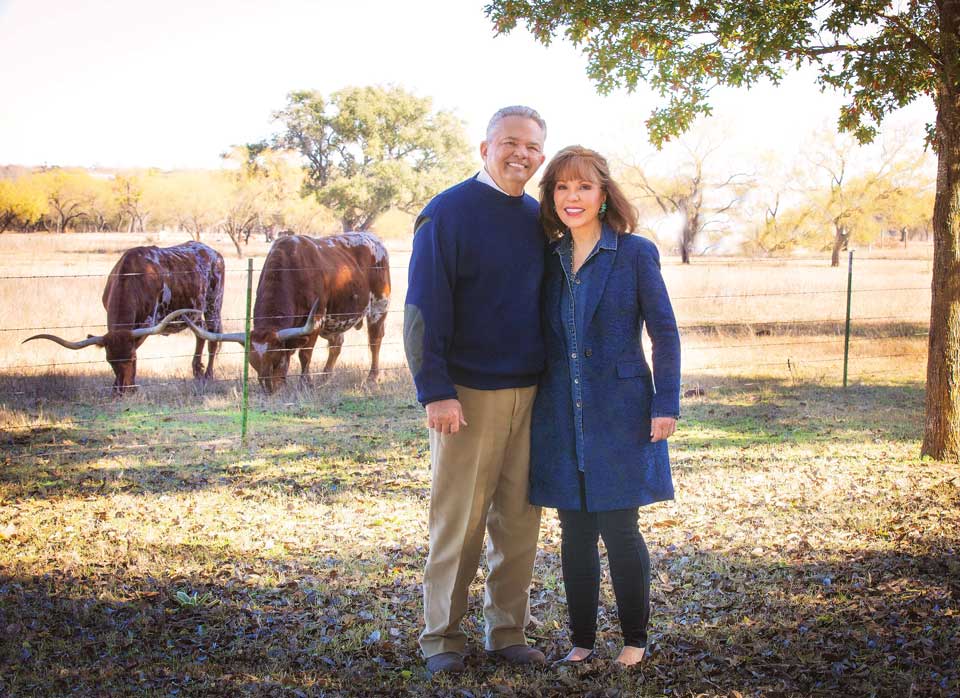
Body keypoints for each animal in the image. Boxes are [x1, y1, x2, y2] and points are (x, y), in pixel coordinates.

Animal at [25, 241, 224, 392]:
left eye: (132, 358)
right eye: (109, 360)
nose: (123, 389)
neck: (131, 278)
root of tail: (212, 252)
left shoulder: (147, 323)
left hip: (213, 306)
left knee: (213, 338)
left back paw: (208, 375)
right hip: (195, 312)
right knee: (201, 333)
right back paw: (197, 371)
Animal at [188, 231, 390, 388]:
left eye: (276, 360)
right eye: (253, 363)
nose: (269, 388)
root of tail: (374, 239)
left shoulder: (315, 321)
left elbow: (304, 355)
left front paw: (305, 383)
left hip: (378, 308)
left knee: (375, 341)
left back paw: (372, 377)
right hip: (334, 320)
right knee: (336, 343)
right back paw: (325, 377)